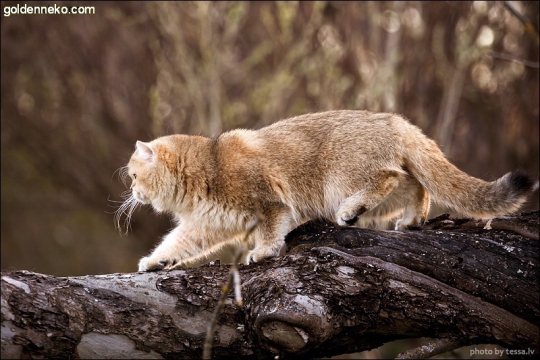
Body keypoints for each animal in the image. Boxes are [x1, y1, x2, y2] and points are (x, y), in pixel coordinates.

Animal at [115, 108, 536, 272]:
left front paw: (262, 253)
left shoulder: (271, 204)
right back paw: (411, 220)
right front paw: (154, 262)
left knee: (390, 179)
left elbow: (270, 231)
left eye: (134, 176)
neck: (208, 166)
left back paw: (351, 212)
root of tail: (395, 120)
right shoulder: (206, 225)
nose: (131, 194)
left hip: (339, 179)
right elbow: (176, 244)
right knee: (417, 185)